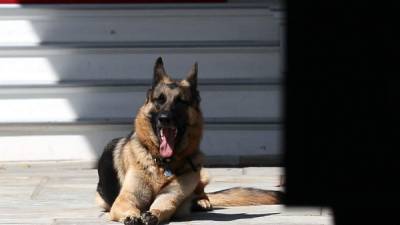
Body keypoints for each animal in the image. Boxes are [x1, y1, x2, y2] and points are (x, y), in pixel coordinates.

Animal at [95, 58, 282, 225]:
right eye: (159, 100)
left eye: (180, 101)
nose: (165, 118)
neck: (164, 164)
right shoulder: (125, 199)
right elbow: (129, 207)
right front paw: (132, 216)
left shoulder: (170, 196)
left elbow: (164, 206)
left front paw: (153, 214)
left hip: (200, 173)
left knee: (201, 192)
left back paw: (201, 201)